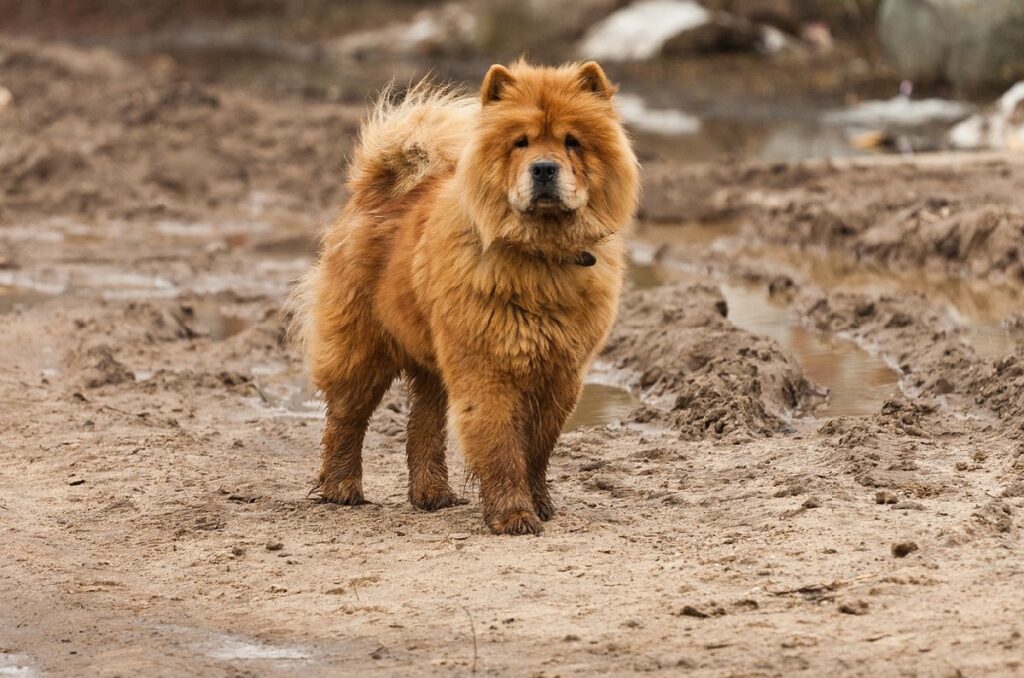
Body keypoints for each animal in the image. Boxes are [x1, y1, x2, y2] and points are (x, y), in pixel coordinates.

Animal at [288, 59, 634, 536]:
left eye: (572, 142)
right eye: (520, 143)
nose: (544, 168)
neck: (540, 258)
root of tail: (375, 187)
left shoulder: (562, 372)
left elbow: (538, 447)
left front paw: (541, 504)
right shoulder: (486, 368)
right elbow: (502, 446)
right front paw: (513, 516)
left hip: (432, 359)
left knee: (422, 426)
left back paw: (432, 494)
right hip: (361, 348)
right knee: (345, 419)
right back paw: (341, 489)